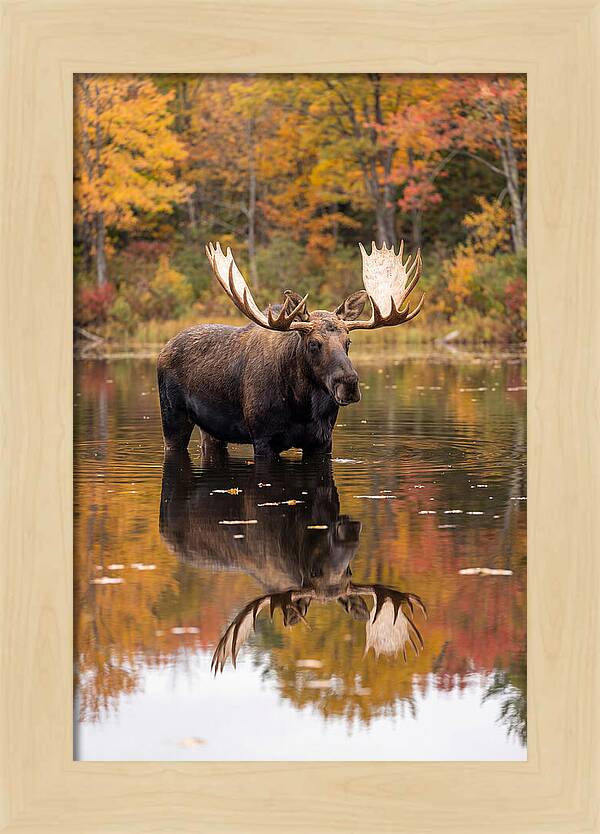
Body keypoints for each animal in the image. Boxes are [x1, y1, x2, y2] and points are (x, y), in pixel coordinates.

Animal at [157, 240, 424, 458]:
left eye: (348, 342)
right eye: (313, 343)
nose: (348, 384)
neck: (302, 406)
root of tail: (164, 348)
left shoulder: (322, 440)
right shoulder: (263, 438)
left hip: (211, 430)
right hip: (172, 417)